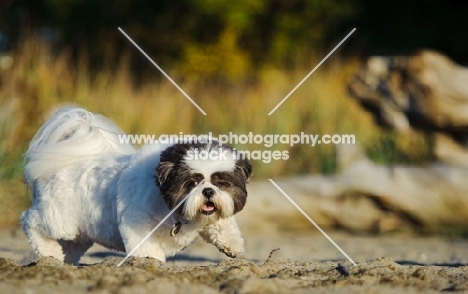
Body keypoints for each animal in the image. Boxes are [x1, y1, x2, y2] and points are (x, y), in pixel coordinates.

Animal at [21, 107, 252, 264]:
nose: (208, 191)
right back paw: (49, 252)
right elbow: (146, 248)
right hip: (60, 218)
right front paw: (151, 261)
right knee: (30, 221)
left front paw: (231, 243)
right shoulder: (137, 223)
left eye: (221, 182)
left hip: (79, 232)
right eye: (192, 182)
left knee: (69, 245)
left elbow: (222, 224)